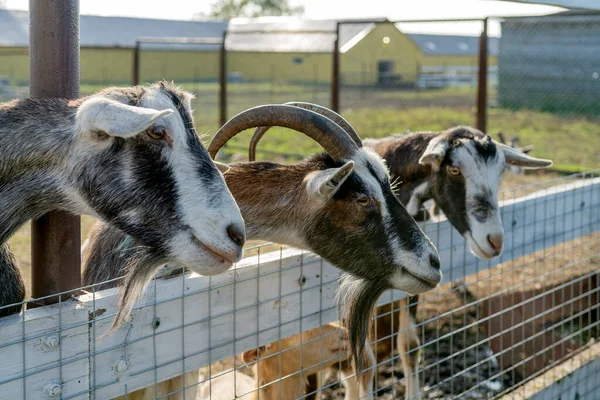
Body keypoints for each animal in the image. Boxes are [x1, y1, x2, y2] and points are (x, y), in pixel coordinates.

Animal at [248, 114, 552, 398]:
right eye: (454, 169)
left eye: (500, 173)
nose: (494, 241)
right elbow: (363, 362)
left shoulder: (413, 280)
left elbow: (410, 347)